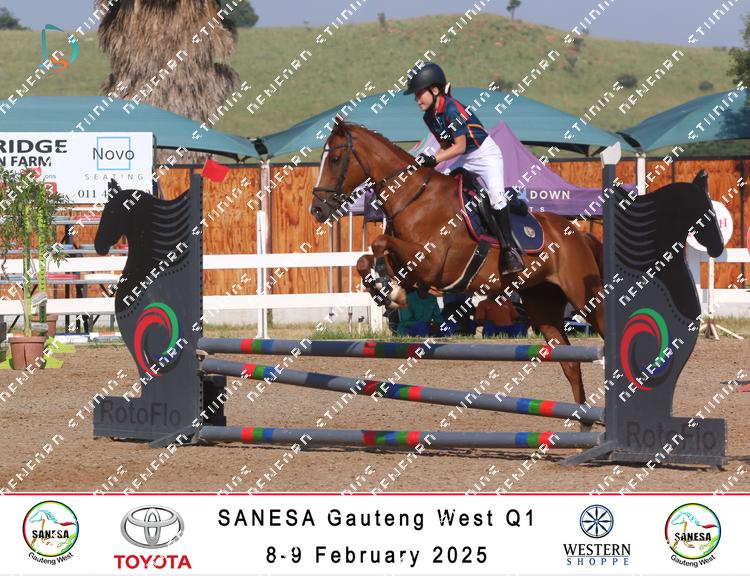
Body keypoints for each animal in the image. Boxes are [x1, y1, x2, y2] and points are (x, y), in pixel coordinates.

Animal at [310, 119, 722, 408]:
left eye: (335, 158)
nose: (316, 209)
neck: (414, 197)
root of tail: (577, 234)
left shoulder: (435, 263)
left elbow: (380, 242)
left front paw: (388, 291)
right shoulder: (415, 268)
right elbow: (367, 257)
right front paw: (384, 289)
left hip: (587, 299)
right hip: (543, 307)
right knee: (570, 361)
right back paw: (580, 421)